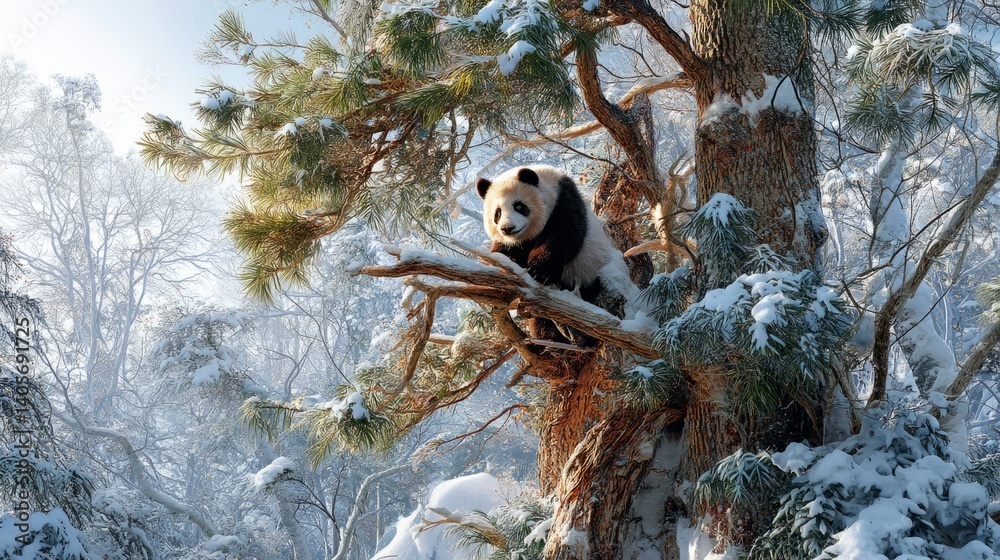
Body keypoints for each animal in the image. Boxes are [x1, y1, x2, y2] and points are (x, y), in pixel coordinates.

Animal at [477, 165, 628, 345]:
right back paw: (550, 340)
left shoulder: (563, 201)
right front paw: (506, 266)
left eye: (519, 206)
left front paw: (540, 271)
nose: (508, 228)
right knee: (540, 320)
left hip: (590, 271)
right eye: (497, 213)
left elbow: (563, 237)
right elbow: (503, 251)